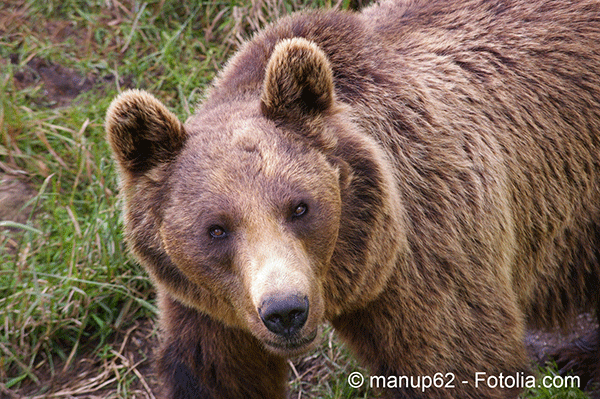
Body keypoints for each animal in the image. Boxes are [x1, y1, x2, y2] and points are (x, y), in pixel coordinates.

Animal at [106, 0, 600, 398]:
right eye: (216, 229)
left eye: (300, 207)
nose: (285, 311)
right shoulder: (208, 304)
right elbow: (215, 372)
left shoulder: (425, 250)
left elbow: (456, 360)